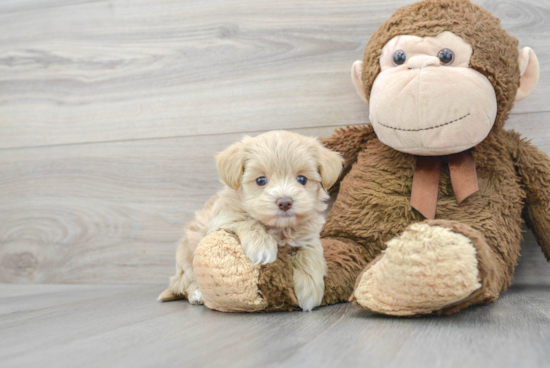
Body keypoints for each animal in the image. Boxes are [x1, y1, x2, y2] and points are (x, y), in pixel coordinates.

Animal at [157, 129, 342, 310]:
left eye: (302, 179)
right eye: (261, 180)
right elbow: (248, 221)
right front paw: (263, 247)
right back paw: (196, 293)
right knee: (184, 282)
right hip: (187, 259)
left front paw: (310, 291)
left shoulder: (309, 236)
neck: (279, 228)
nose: (284, 202)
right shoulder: (222, 218)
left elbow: (310, 254)